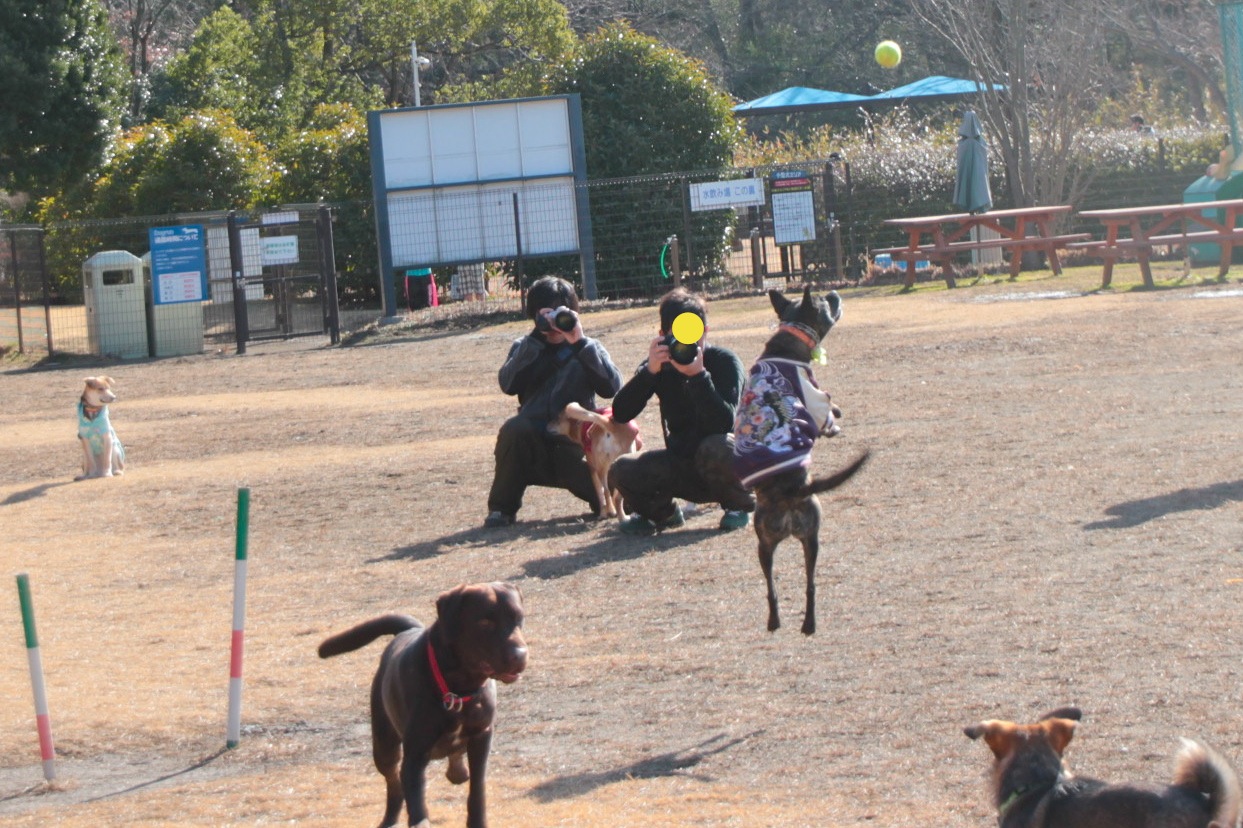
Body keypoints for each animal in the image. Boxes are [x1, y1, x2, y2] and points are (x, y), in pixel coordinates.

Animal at [730, 287, 870, 634]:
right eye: (824, 301)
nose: (833, 291)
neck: (790, 337)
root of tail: (790, 492)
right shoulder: (815, 396)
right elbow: (828, 410)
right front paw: (836, 420)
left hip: (764, 544)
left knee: (771, 587)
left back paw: (776, 622)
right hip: (812, 535)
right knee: (810, 583)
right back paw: (809, 624)